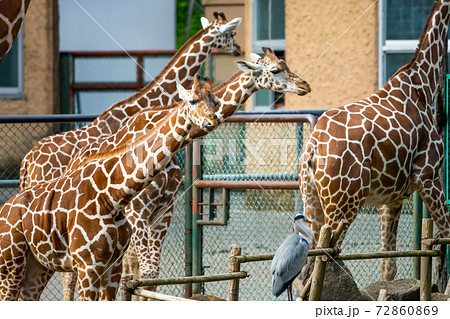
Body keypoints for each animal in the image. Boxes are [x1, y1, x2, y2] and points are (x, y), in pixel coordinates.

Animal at [0, 74, 218, 302]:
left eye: (215, 101)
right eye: (192, 101)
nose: (211, 121)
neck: (112, 197)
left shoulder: (112, 267)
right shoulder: (88, 265)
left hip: (37, 266)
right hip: (11, 267)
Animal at [300, 0, 450, 292]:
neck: (423, 84)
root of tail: (312, 148)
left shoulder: (391, 198)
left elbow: (388, 266)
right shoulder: (428, 176)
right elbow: (448, 233)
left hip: (312, 203)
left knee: (308, 265)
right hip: (342, 205)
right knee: (324, 262)